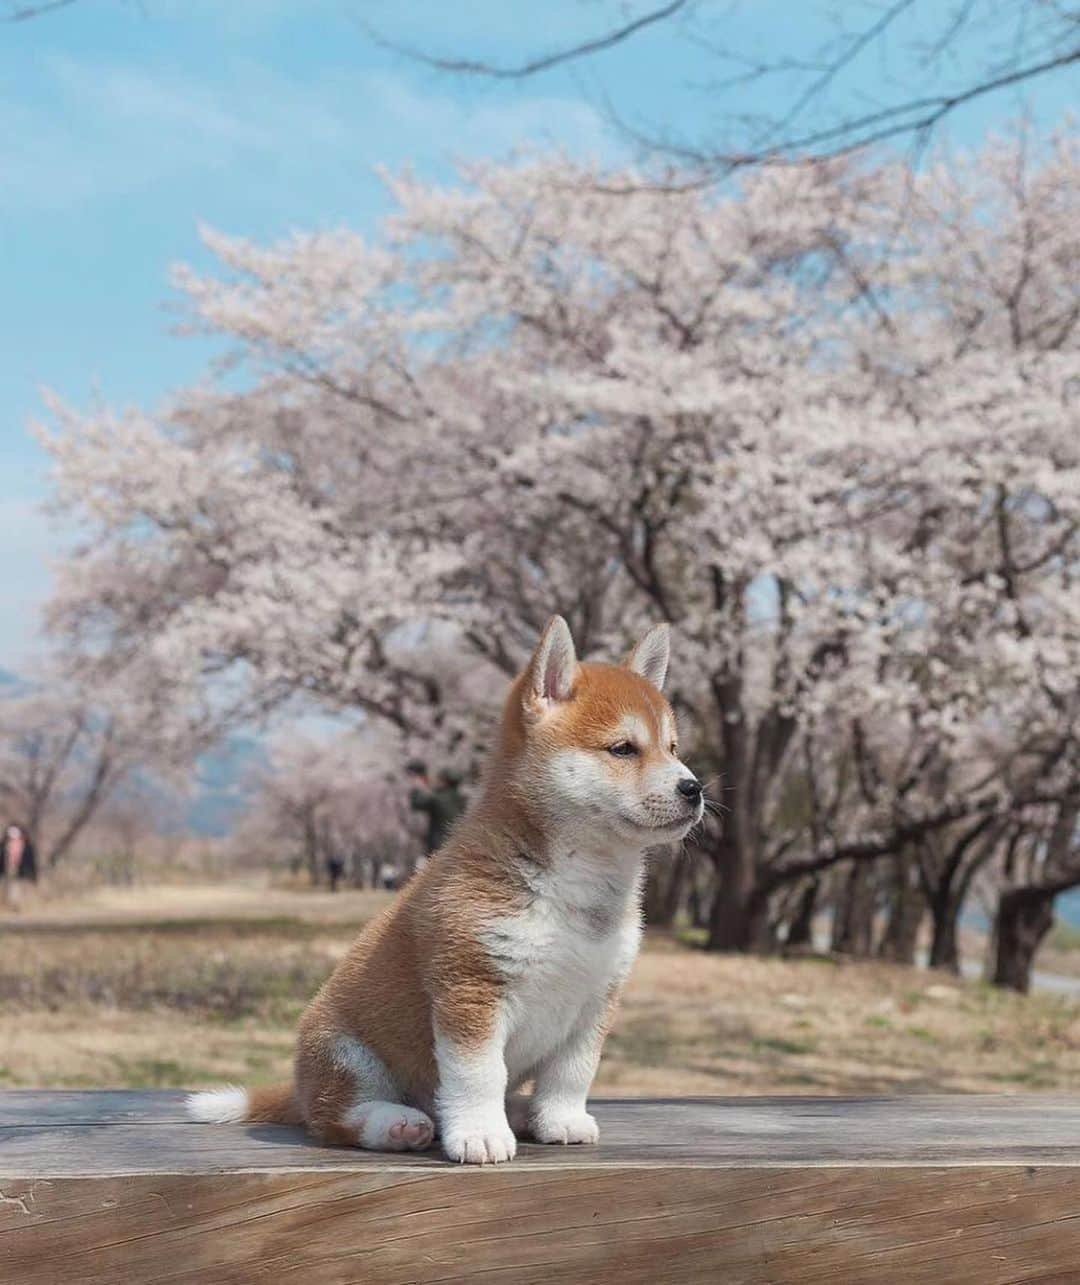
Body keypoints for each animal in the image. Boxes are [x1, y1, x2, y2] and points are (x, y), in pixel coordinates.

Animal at [189, 619, 704, 1166]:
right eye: (623, 749)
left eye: (673, 749)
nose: (694, 788)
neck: (578, 881)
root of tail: (299, 1087)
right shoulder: (470, 987)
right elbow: (479, 1075)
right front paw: (480, 1134)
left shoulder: (595, 999)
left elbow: (572, 1073)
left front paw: (560, 1120)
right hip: (346, 1052)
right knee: (335, 1118)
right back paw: (398, 1123)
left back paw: (520, 1113)